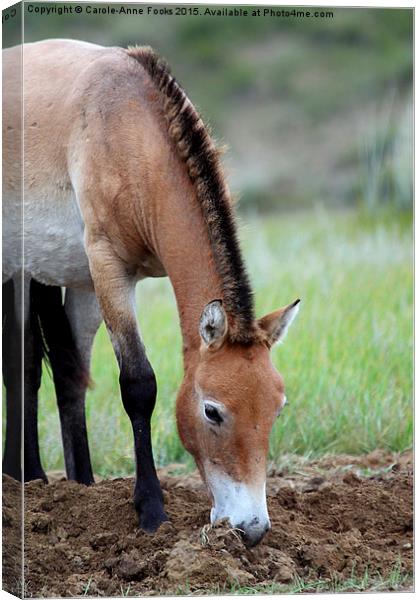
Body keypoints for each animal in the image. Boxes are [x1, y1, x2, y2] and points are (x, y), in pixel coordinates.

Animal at [2, 38, 298, 548]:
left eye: (276, 408)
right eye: (212, 411)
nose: (252, 529)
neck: (128, 131)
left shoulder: (86, 281)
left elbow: (73, 375)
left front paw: (84, 490)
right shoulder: (108, 268)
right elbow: (138, 384)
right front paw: (151, 511)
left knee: (43, 367)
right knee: (20, 364)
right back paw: (24, 479)